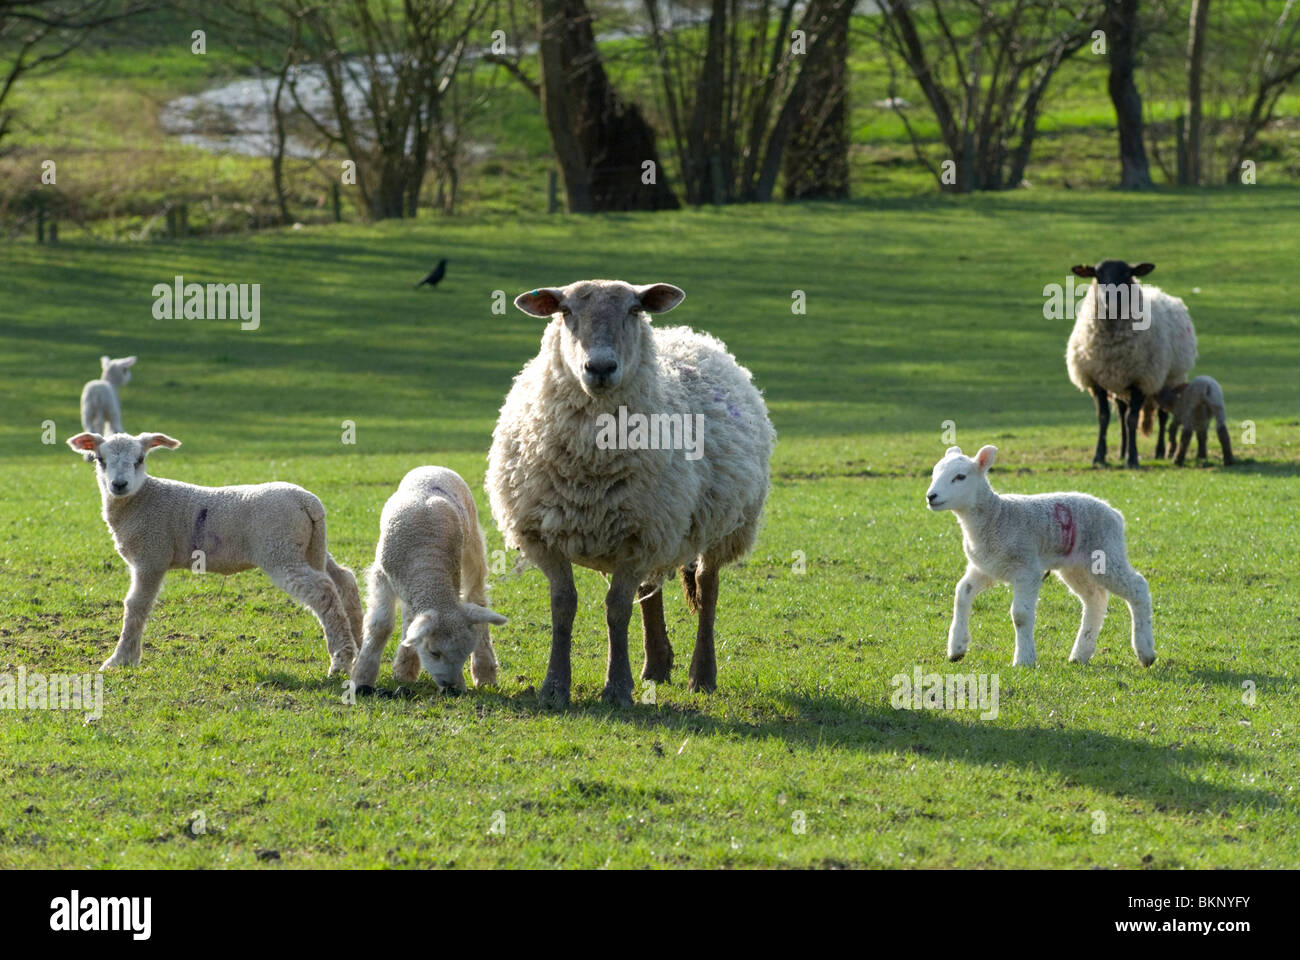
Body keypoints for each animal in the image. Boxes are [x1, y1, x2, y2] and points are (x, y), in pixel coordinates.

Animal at [65, 429, 361, 671]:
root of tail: (309, 502)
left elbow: (136, 605)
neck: (141, 500)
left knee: (323, 590)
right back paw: (358, 644)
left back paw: (341, 659)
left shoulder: (151, 555)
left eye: (139, 459)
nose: (119, 485)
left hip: (280, 550)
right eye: (100, 459)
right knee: (343, 579)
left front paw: (121, 659)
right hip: (310, 547)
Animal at [348, 468, 504, 692]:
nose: (452, 689)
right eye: (433, 652)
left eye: (464, 654)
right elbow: (381, 626)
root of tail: (434, 467)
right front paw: (362, 678)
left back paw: (484, 673)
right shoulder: (382, 576)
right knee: (410, 618)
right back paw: (404, 669)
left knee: (476, 598)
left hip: (473, 544)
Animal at [486, 277, 769, 702]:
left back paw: (701, 675)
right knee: (651, 590)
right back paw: (656, 666)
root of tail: (690, 335)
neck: (590, 466)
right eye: (565, 311)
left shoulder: (641, 537)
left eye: (634, 310)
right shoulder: (544, 535)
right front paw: (555, 686)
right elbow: (563, 605)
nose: (600, 367)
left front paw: (617, 688)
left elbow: (616, 609)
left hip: (726, 522)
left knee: (707, 586)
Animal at [925, 447, 1159, 666]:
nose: (931, 496)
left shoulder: (1027, 568)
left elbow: (1020, 615)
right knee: (1095, 599)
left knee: (1138, 587)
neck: (996, 516)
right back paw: (1080, 654)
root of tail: (1115, 513)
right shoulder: (985, 567)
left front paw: (1023, 659)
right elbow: (961, 593)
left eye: (960, 477)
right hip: (1075, 566)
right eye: (934, 473)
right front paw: (956, 648)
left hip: (1106, 552)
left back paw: (1145, 652)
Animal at [1066, 257, 1196, 468]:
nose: (1110, 298)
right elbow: (1104, 418)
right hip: (1119, 385)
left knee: (1162, 415)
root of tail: (1158, 291)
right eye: (1098, 275)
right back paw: (1122, 451)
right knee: (1121, 416)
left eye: (1127, 274)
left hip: (1169, 378)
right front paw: (1099, 457)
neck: (1111, 343)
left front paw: (1133, 458)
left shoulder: (1141, 380)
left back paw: (1160, 451)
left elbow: (1133, 419)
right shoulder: (1097, 382)